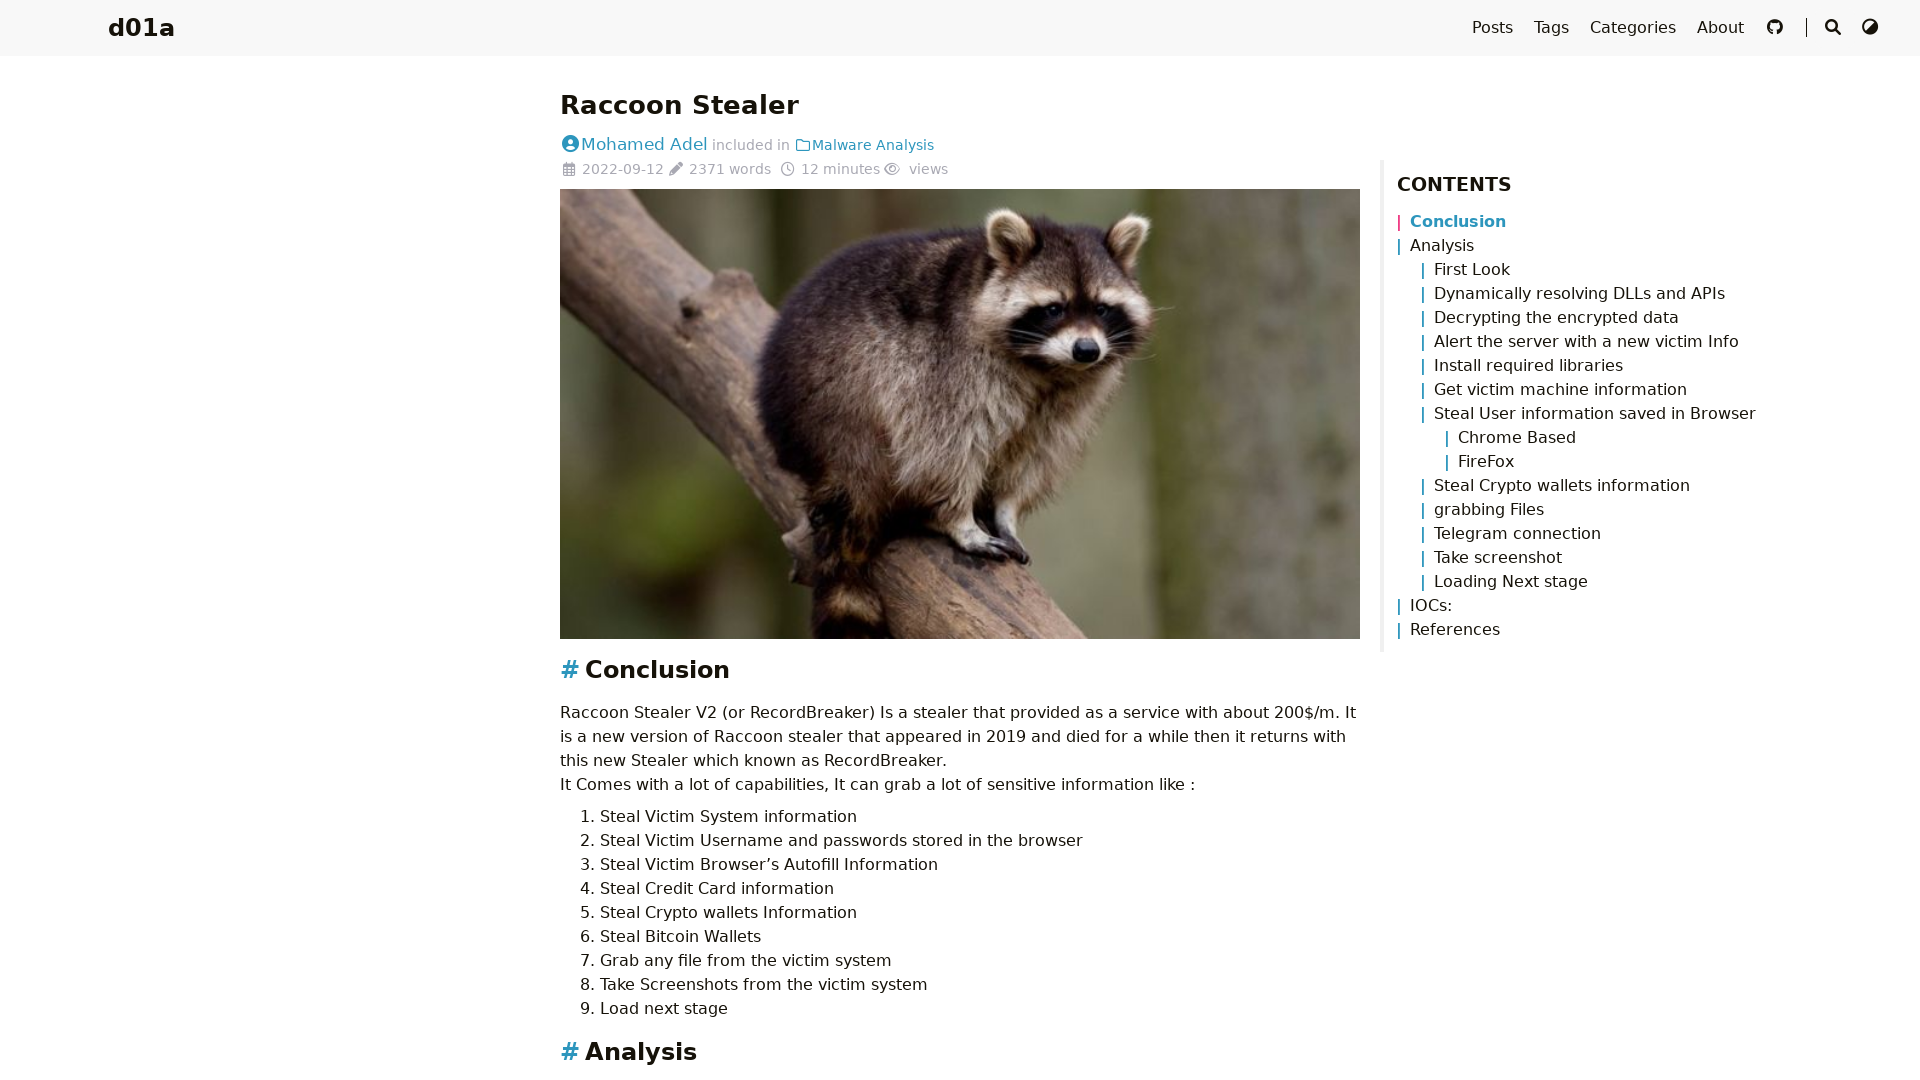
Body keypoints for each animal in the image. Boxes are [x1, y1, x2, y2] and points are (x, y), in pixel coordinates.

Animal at [756, 208, 1153, 637]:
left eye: (1101, 308)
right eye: (1053, 309)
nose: (1086, 350)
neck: (1047, 365)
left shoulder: (1065, 403)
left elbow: (1031, 454)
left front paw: (1006, 511)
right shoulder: (948, 367)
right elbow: (943, 448)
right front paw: (957, 519)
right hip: (839, 394)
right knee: (871, 451)